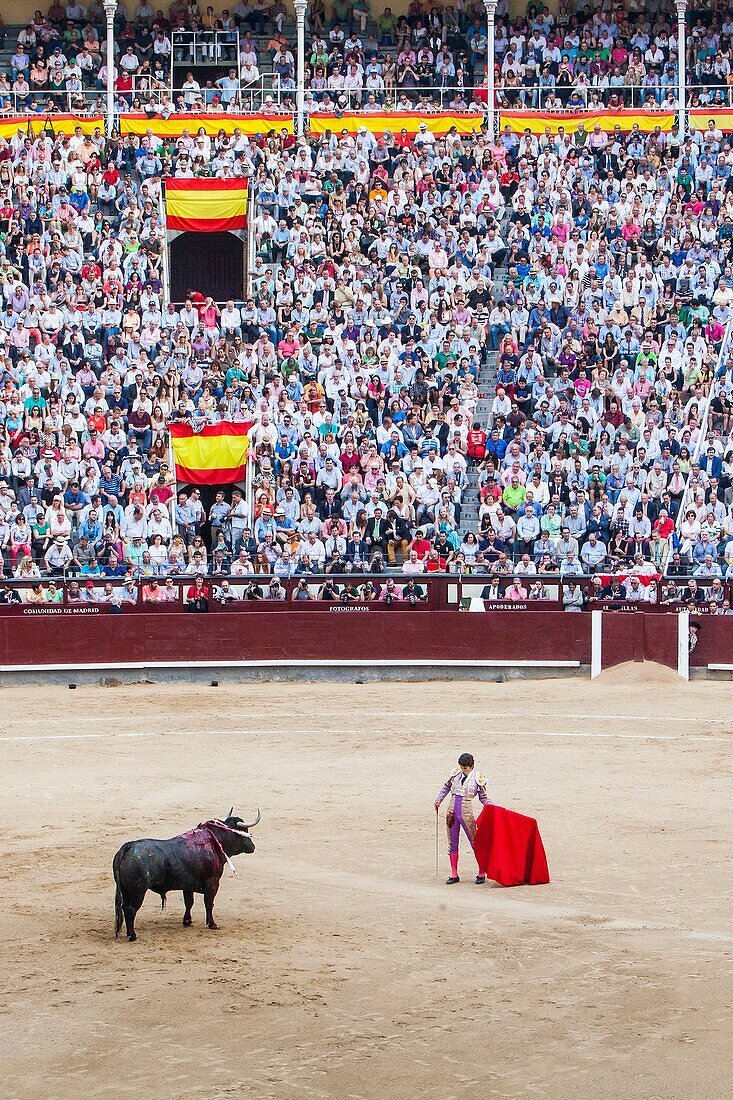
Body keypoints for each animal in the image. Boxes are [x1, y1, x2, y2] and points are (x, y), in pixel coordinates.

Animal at [110, 814, 255, 941]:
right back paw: (132, 935)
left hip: (126, 890)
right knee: (131, 909)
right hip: (137, 891)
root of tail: (129, 846)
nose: (253, 846)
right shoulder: (213, 882)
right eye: (244, 831)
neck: (214, 842)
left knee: (124, 908)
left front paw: (187, 921)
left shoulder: (188, 885)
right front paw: (212, 924)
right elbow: (209, 903)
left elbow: (189, 902)